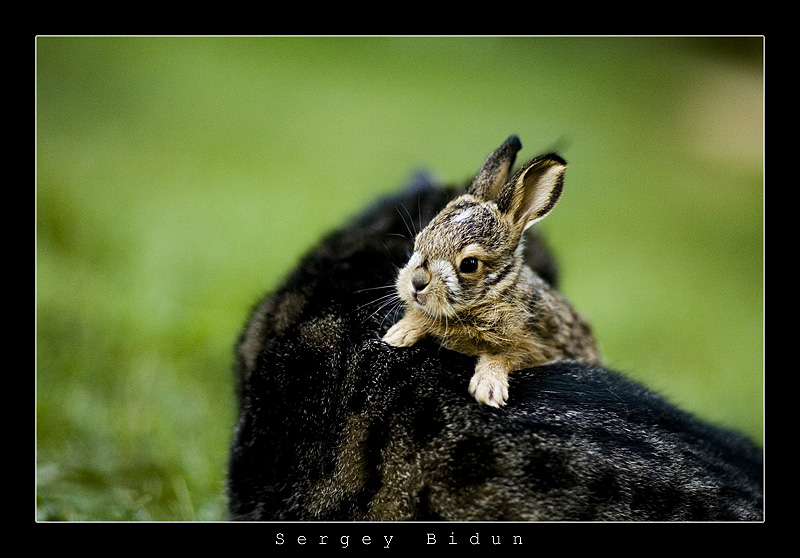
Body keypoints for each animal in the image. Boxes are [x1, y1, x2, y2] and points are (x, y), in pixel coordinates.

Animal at [382, 136, 600, 406]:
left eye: (469, 264)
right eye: (419, 241)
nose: (417, 282)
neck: (494, 294)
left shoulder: (534, 348)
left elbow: (502, 357)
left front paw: (488, 390)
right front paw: (399, 333)